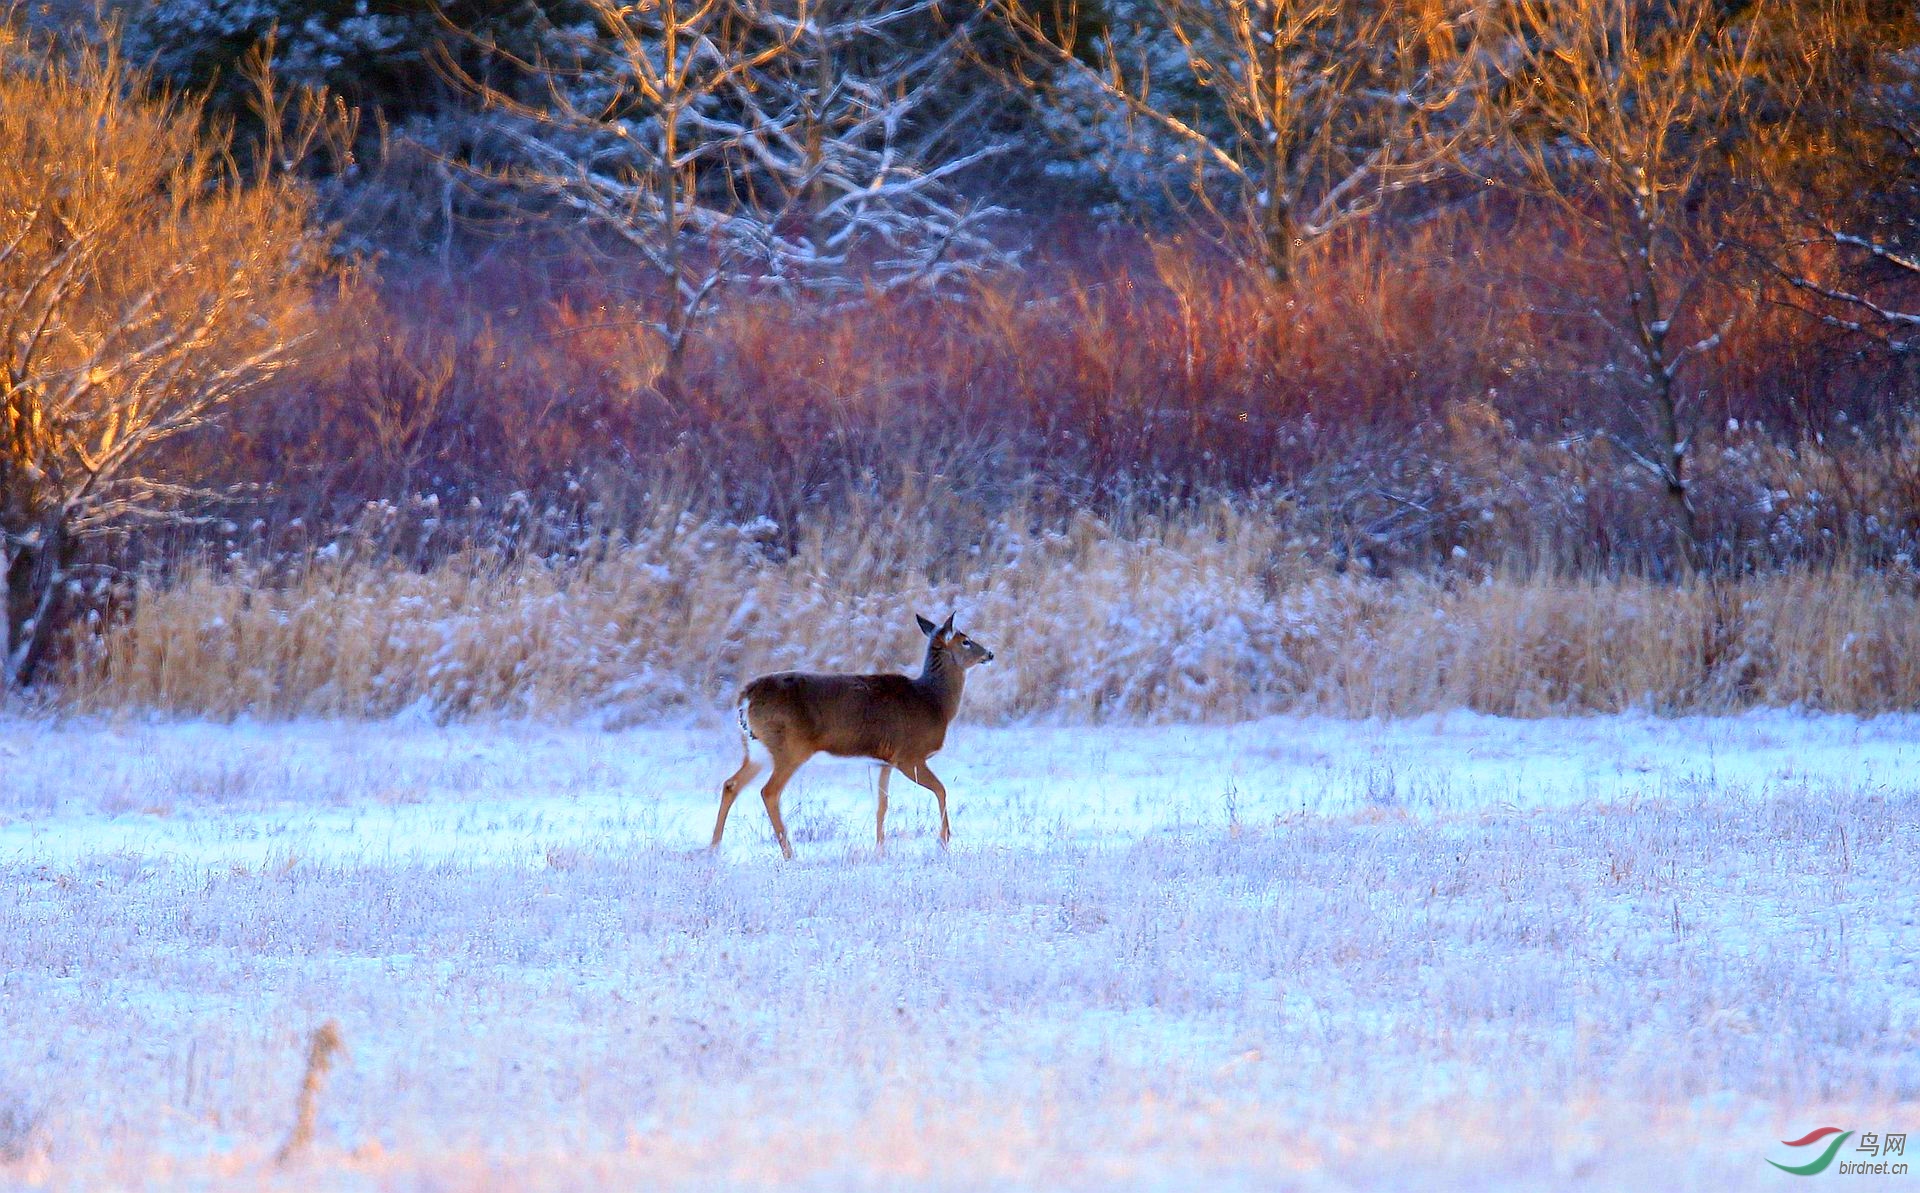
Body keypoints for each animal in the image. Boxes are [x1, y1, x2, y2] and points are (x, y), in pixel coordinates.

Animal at [714, 614, 998, 856]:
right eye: (965, 640)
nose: (990, 653)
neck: (934, 701)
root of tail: (746, 696)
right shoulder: (910, 755)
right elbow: (941, 789)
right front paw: (943, 841)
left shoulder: (882, 761)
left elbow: (881, 805)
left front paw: (880, 849)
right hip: (790, 747)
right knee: (769, 792)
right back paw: (789, 854)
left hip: (757, 749)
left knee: (731, 784)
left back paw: (713, 849)